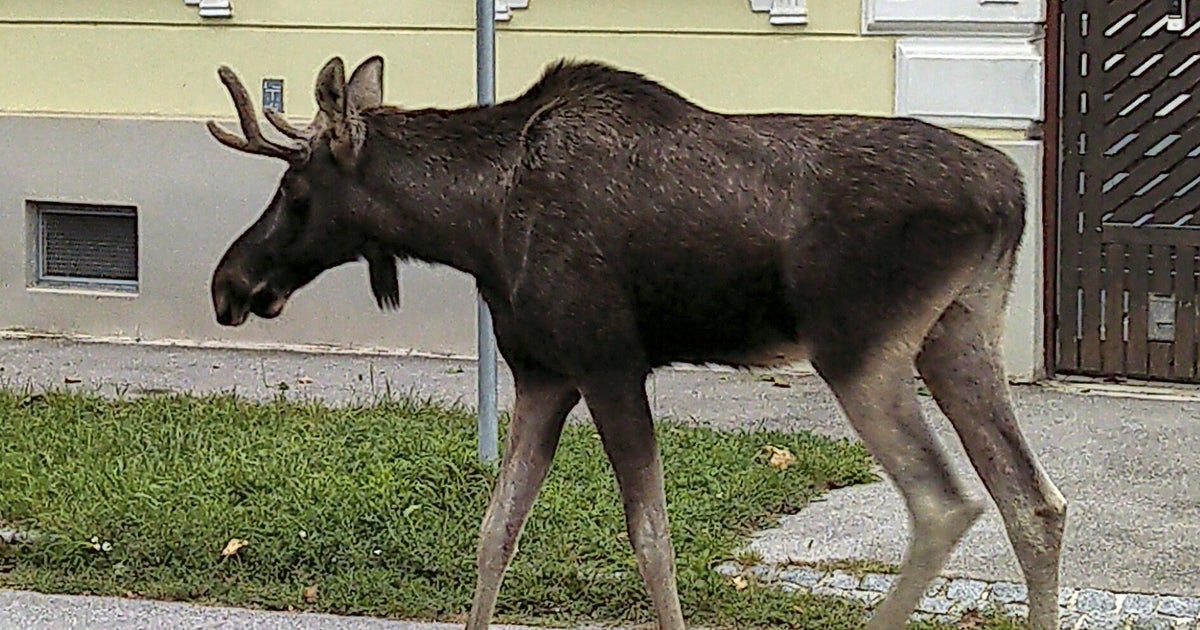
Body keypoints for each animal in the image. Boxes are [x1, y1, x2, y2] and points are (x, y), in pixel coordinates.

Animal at [205, 54, 1067, 630]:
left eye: (295, 191)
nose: (229, 284)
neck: (474, 227)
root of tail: (1015, 194)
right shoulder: (543, 375)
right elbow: (495, 531)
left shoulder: (608, 364)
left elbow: (650, 539)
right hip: (960, 333)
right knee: (1035, 502)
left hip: (860, 348)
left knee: (945, 503)